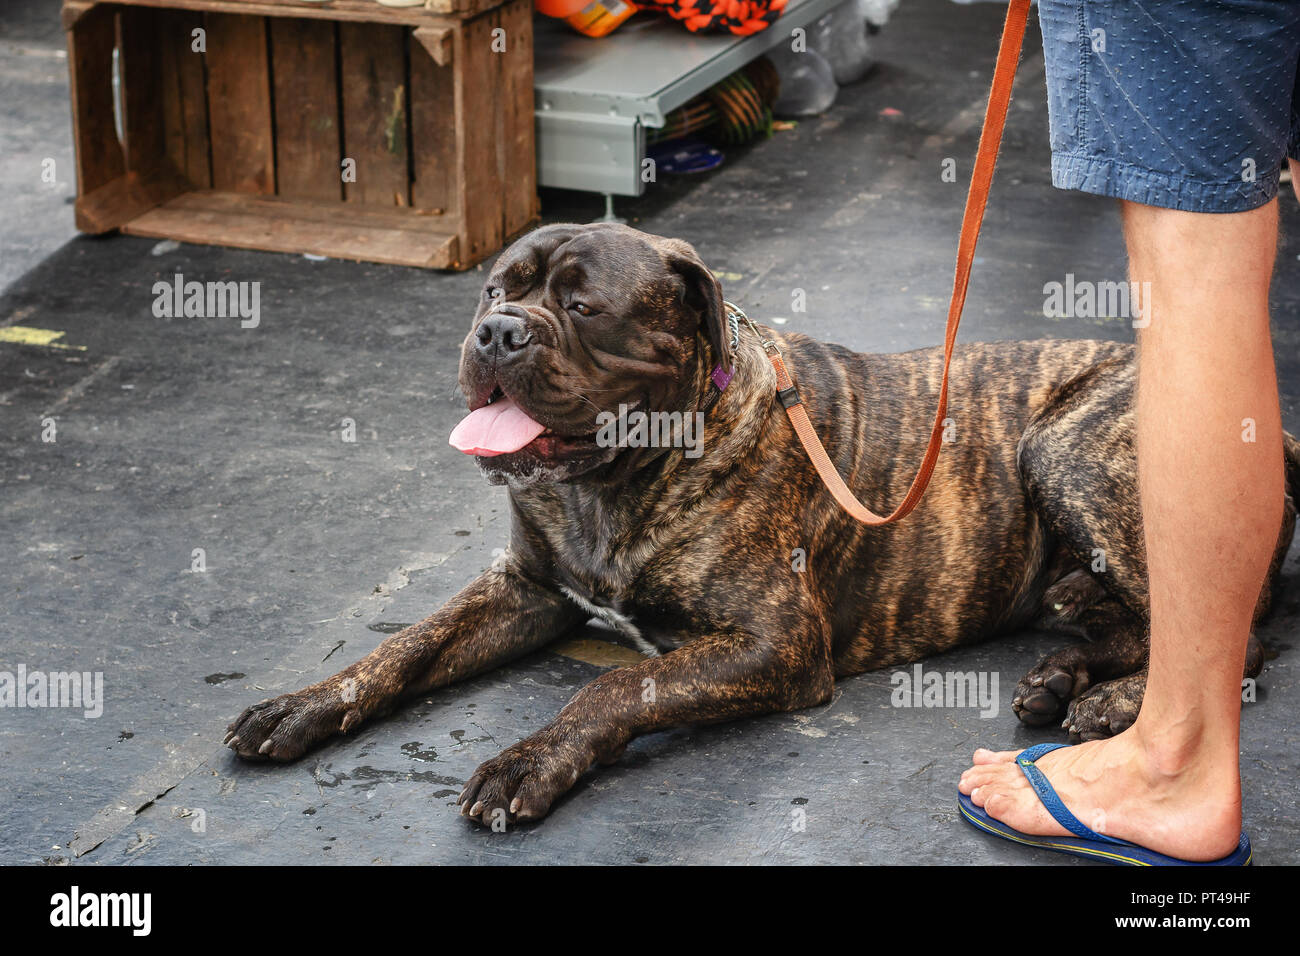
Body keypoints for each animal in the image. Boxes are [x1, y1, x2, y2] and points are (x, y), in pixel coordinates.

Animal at [226, 223, 1300, 832]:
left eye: (582, 305)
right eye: (497, 288)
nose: (496, 332)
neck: (616, 480)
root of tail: (1274, 426)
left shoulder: (775, 642)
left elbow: (618, 686)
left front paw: (531, 759)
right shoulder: (525, 587)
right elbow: (407, 644)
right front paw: (304, 704)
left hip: (1065, 447)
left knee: (1234, 636)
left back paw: (1108, 706)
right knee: (1135, 616)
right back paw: (1065, 675)